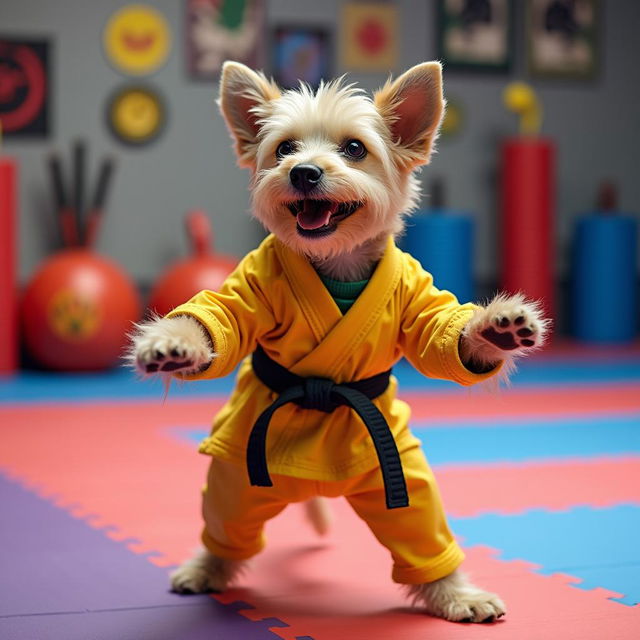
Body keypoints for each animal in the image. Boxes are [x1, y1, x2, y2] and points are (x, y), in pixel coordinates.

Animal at [127, 62, 548, 624]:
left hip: (400, 483)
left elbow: (443, 340)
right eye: (284, 149)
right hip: (237, 480)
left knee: (423, 533)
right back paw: (207, 568)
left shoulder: (414, 293)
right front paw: (174, 345)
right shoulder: (254, 282)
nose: (303, 172)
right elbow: (219, 320)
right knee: (225, 523)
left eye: (353, 148)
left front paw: (496, 330)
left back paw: (455, 593)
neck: (337, 261)